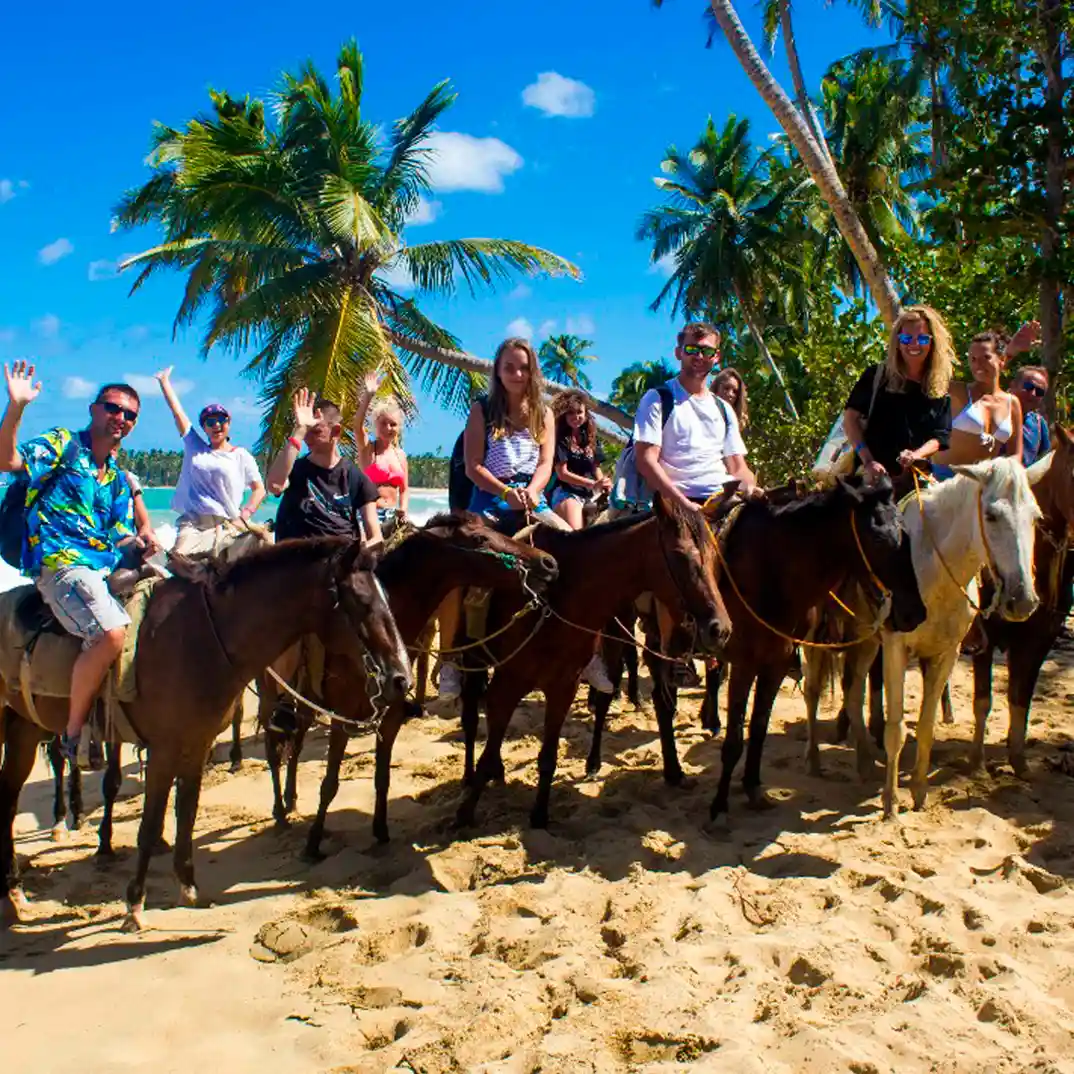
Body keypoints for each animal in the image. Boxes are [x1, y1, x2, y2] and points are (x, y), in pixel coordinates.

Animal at [0, 537, 412, 932]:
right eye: (361, 602)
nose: (401, 679)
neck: (201, 636)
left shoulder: (196, 745)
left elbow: (187, 811)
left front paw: (189, 888)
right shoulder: (164, 750)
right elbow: (150, 825)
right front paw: (135, 905)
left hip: (23, 730)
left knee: (9, 798)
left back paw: (15, 893)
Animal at [453, 494, 730, 829]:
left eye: (715, 558)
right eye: (679, 556)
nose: (720, 629)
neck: (558, 596)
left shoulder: (564, 685)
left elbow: (548, 758)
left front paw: (539, 816)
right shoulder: (510, 682)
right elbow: (489, 748)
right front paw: (465, 814)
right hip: (473, 660)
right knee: (471, 719)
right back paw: (470, 777)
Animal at [975, 431, 1074, 777]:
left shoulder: (1039, 640)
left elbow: (1021, 698)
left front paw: (1018, 761)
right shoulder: (984, 638)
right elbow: (983, 700)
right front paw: (976, 764)